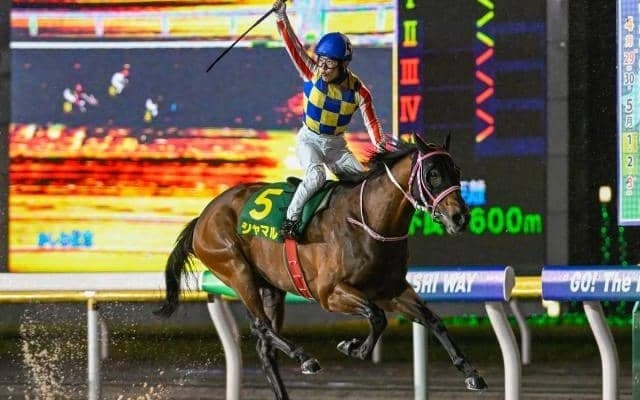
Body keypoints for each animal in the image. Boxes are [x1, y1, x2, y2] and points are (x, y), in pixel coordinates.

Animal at [155, 134, 487, 399]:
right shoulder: (330, 293)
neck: (368, 221)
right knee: (259, 325)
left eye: (455, 170)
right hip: (236, 269)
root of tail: (203, 216)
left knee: (265, 347)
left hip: (272, 288)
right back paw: (304, 357)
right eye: (432, 174)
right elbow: (376, 317)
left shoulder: (390, 290)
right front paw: (352, 347)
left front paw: (472, 374)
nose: (460, 217)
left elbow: (432, 320)